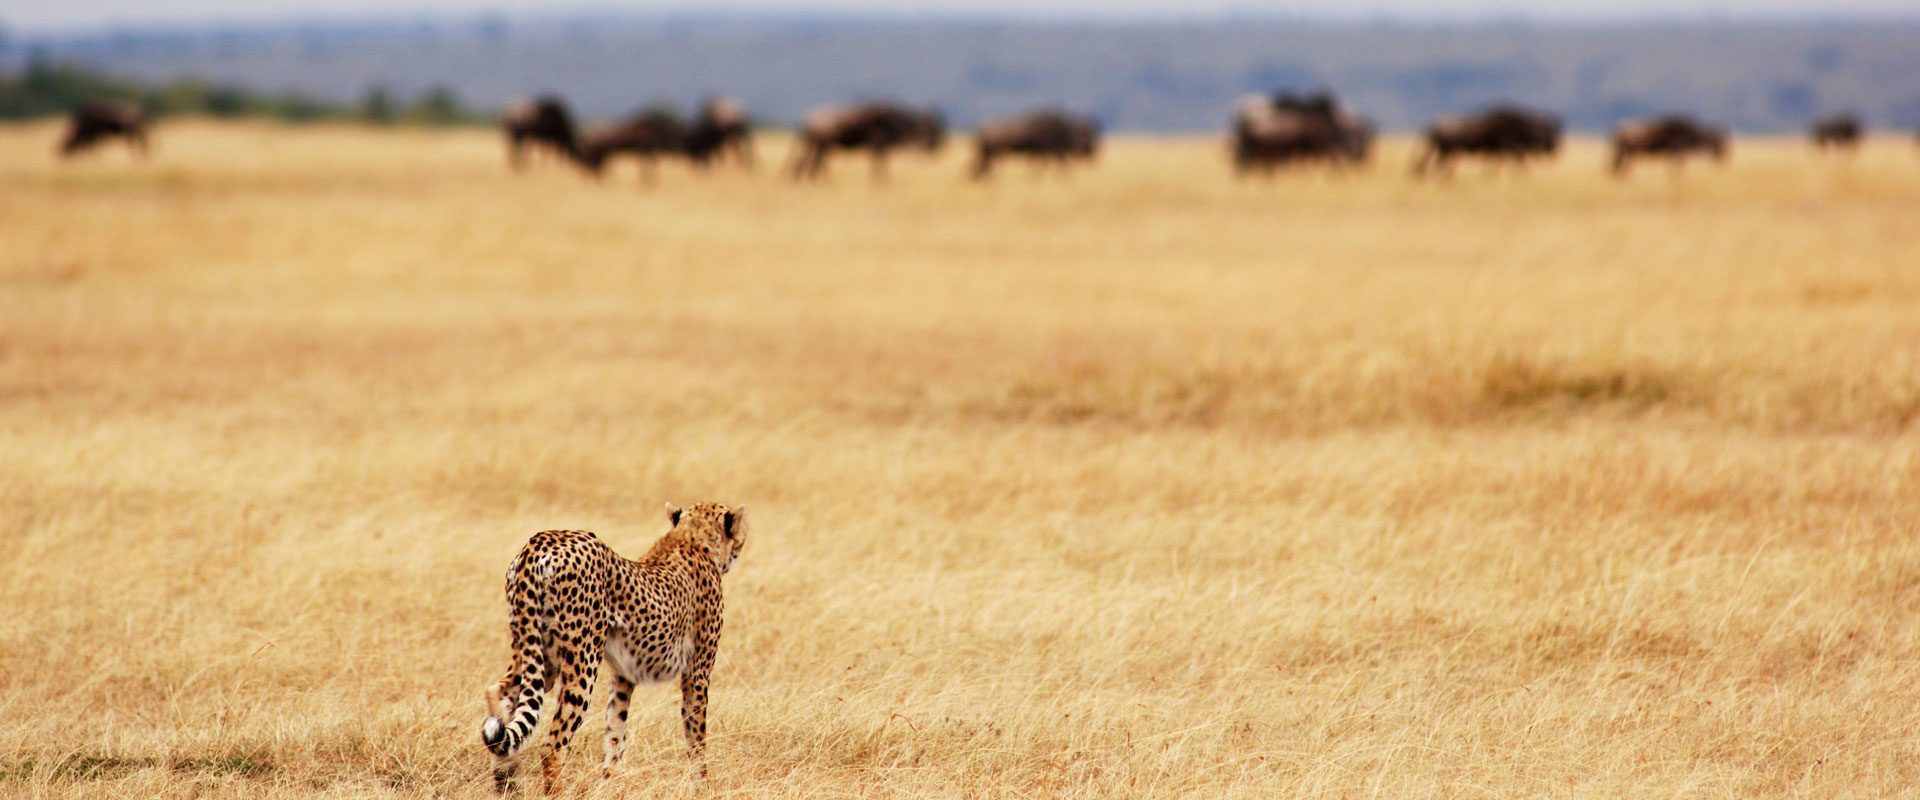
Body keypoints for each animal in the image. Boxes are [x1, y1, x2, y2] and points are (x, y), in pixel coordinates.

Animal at [483, 502, 744, 790]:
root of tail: (541, 542)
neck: (691, 539)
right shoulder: (696, 673)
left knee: (498, 694)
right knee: (552, 745)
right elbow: (696, 736)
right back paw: (556, 790)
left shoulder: (623, 674)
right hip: (582, 659)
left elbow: (615, 727)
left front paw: (612, 780)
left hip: (537, 653)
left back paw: (506, 780)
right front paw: (702, 785)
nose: (741, 543)